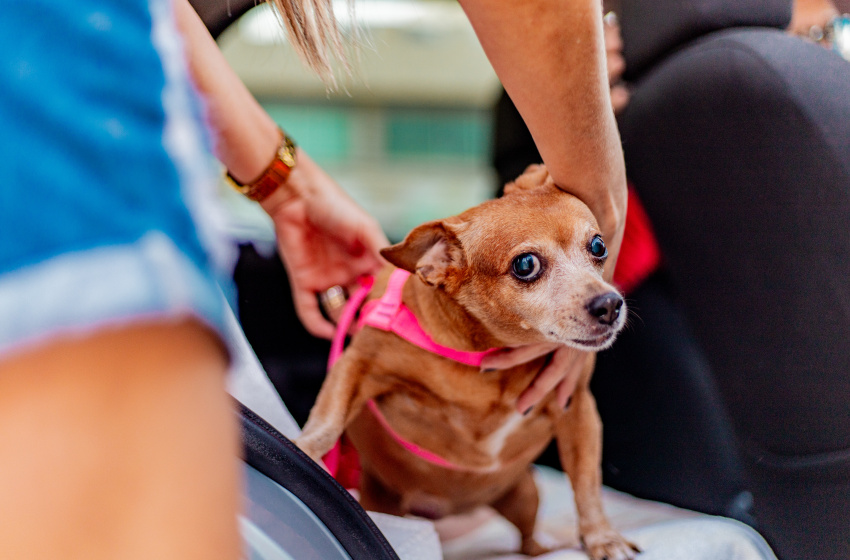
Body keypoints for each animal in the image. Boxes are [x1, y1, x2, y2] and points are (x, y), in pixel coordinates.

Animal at [298, 164, 636, 556]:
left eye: (598, 246)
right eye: (526, 265)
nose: (609, 305)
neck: (486, 361)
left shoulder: (576, 408)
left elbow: (586, 483)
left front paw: (602, 538)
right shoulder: (358, 364)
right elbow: (326, 424)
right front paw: (302, 451)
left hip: (524, 495)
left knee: (527, 538)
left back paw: (540, 550)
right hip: (383, 503)